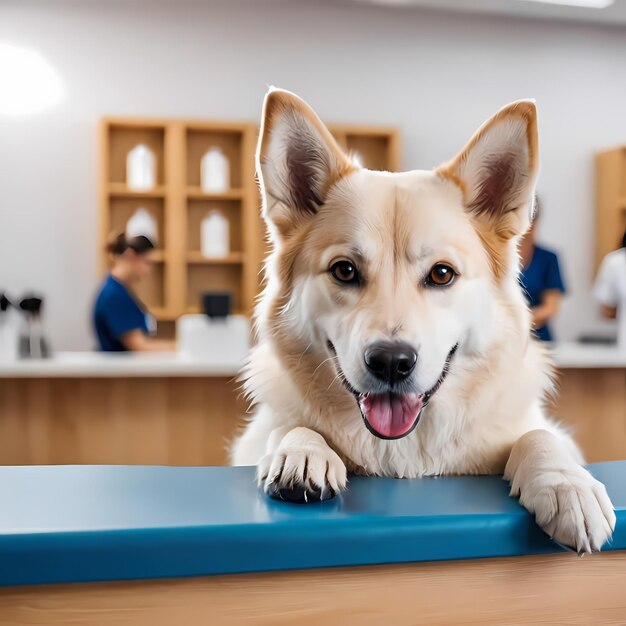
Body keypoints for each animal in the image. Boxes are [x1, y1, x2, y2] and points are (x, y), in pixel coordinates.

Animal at [230, 86, 616, 552]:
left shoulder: (527, 429)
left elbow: (539, 435)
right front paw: (302, 449)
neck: (403, 447)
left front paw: (566, 484)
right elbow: (288, 426)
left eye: (442, 274)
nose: (391, 363)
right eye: (345, 270)